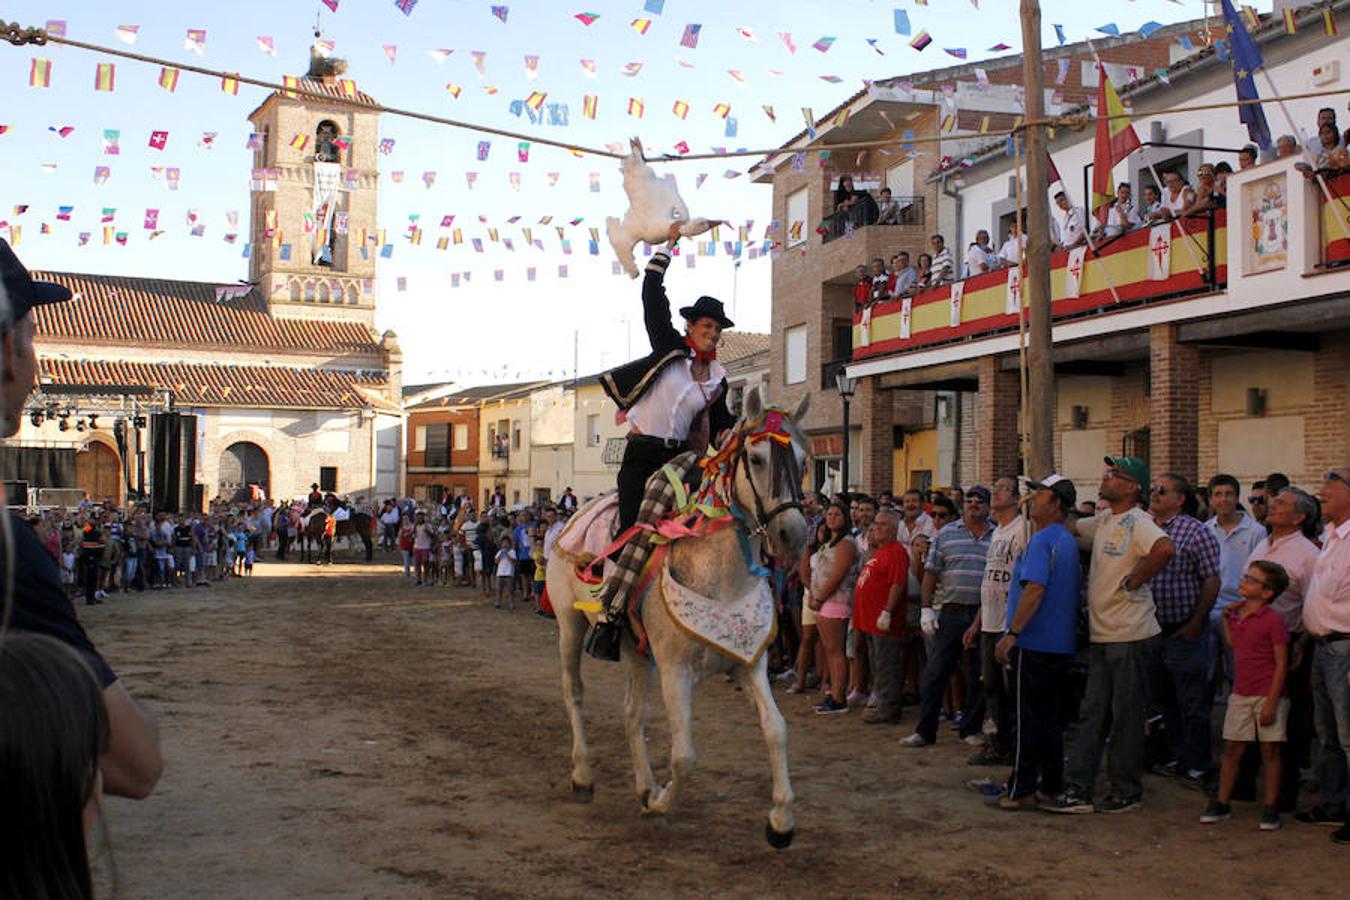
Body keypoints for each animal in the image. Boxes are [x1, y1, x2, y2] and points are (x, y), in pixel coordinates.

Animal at [542, 388, 804, 852]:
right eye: (756, 459)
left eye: (806, 461)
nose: (796, 534)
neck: (722, 577)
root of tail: (572, 517)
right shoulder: (674, 670)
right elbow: (685, 757)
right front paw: (663, 803)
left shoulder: (750, 662)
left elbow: (776, 729)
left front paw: (780, 822)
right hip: (570, 627)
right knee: (574, 692)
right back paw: (584, 777)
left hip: (633, 650)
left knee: (632, 713)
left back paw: (644, 784)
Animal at [607, 136, 723, 277]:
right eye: (704, 223)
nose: (718, 221)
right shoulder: (672, 195)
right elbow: (683, 212)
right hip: (642, 170)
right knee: (637, 158)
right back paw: (636, 147)